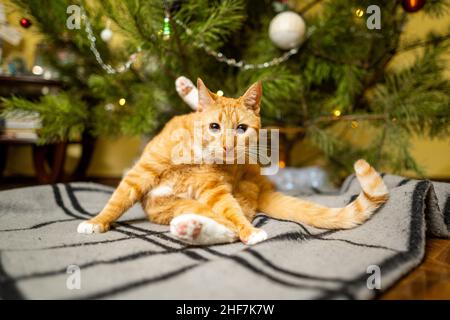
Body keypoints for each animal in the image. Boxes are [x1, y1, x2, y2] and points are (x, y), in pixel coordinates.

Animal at [76, 79, 386, 246]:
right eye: (214, 126)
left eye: (241, 129)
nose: (228, 145)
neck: (195, 152)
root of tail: (262, 186)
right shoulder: (139, 174)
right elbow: (116, 201)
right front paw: (96, 222)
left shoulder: (214, 190)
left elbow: (234, 216)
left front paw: (251, 232)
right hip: (180, 206)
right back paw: (187, 87)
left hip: (214, 199)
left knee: (230, 225)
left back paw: (193, 230)